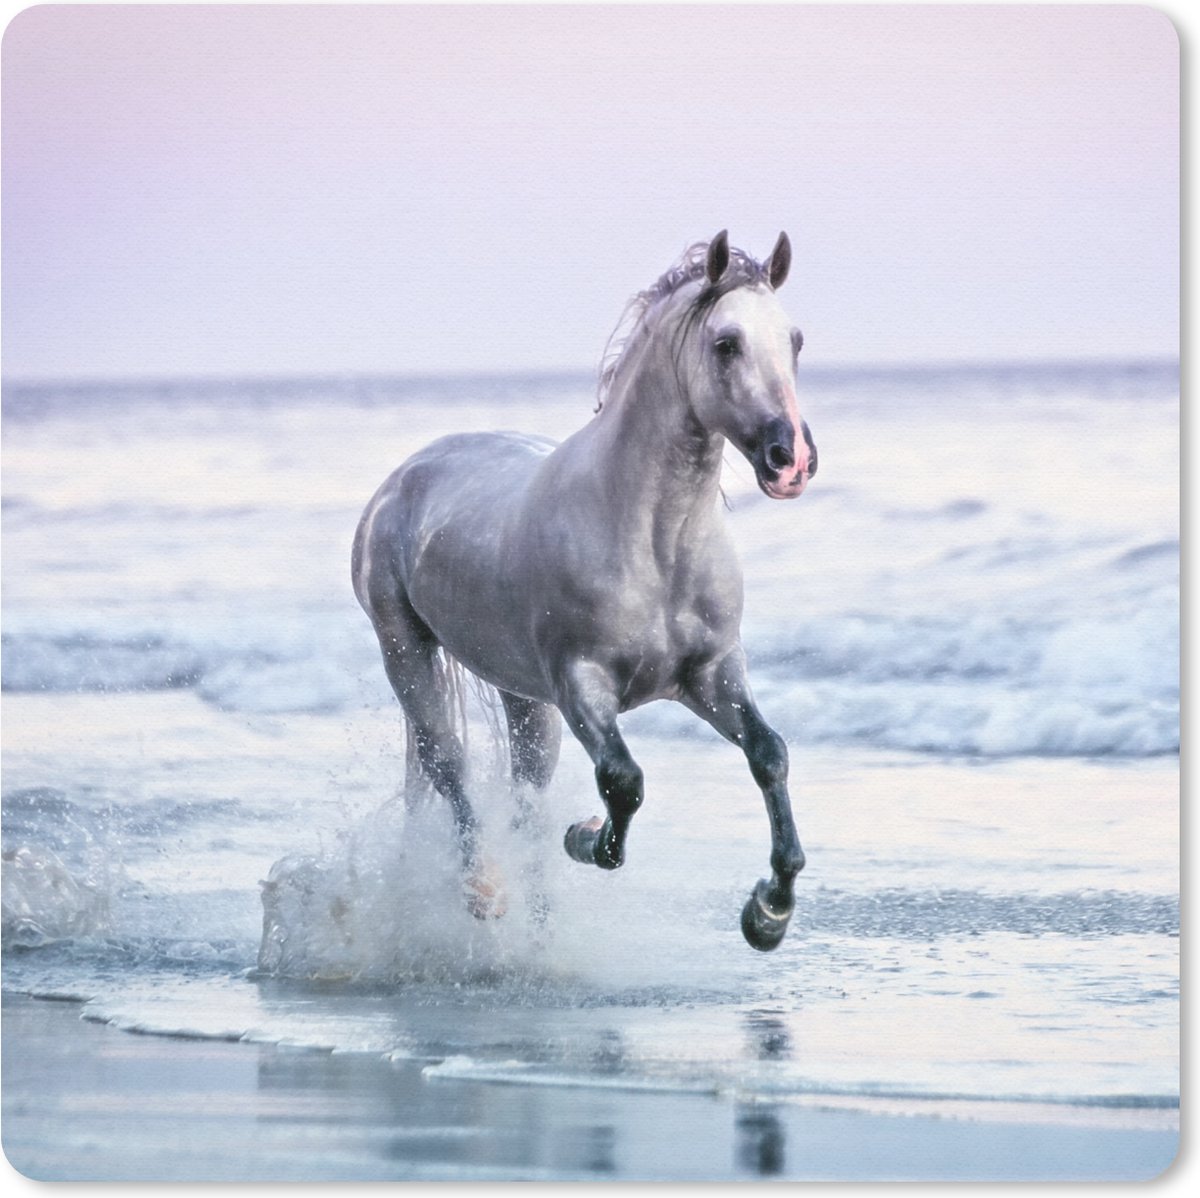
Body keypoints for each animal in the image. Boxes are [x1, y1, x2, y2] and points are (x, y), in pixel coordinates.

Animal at [352, 230, 817, 950]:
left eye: (793, 340)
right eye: (726, 343)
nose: (789, 459)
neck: (654, 543)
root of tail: (402, 479)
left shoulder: (711, 675)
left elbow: (769, 755)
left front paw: (768, 914)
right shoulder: (582, 686)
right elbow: (623, 784)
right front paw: (587, 836)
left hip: (522, 697)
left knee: (525, 796)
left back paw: (541, 931)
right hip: (407, 653)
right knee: (448, 767)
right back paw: (484, 891)